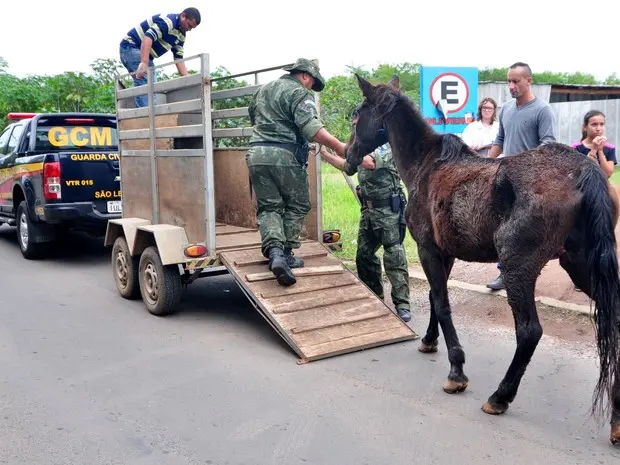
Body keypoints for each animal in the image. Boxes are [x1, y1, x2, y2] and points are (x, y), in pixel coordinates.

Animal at [344, 74, 620, 444]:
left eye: (358, 116)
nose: (348, 156)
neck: (427, 165)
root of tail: (583, 172)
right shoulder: (444, 254)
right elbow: (435, 298)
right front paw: (430, 342)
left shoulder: (428, 250)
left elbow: (442, 304)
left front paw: (456, 370)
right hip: (581, 266)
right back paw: (617, 417)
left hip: (520, 269)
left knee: (529, 331)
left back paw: (500, 397)